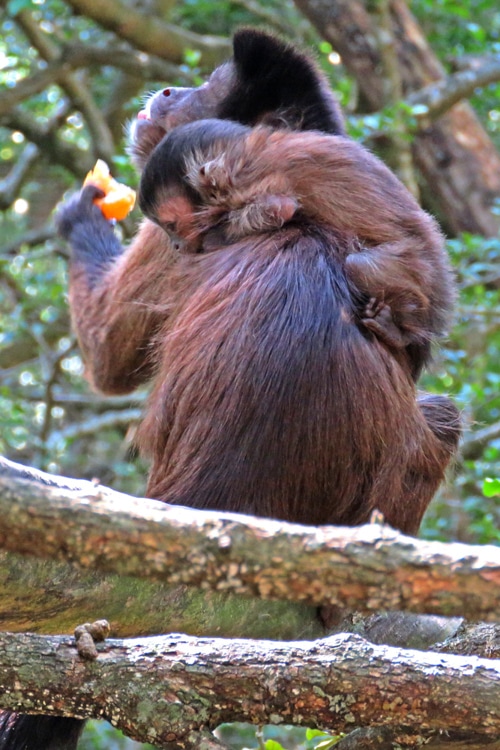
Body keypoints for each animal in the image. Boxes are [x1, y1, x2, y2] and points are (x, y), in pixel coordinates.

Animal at [0, 29, 460, 750]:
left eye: (202, 84)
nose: (167, 90)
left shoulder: (182, 227)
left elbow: (107, 360)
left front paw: (81, 214)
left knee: (439, 414)